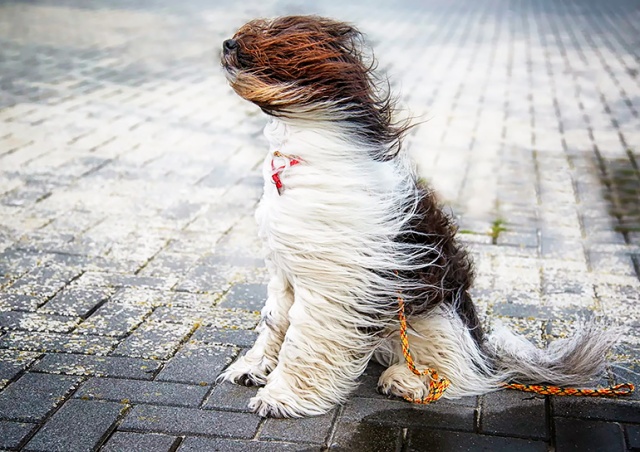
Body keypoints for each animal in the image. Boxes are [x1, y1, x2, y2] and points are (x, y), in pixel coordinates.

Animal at [218, 15, 616, 418]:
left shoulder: (331, 284)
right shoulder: (285, 272)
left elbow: (302, 338)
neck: (300, 152)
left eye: (271, 39)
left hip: (434, 315)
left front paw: (281, 397)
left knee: (458, 370)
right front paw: (253, 367)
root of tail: (483, 349)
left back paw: (408, 380)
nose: (228, 43)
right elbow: (274, 322)